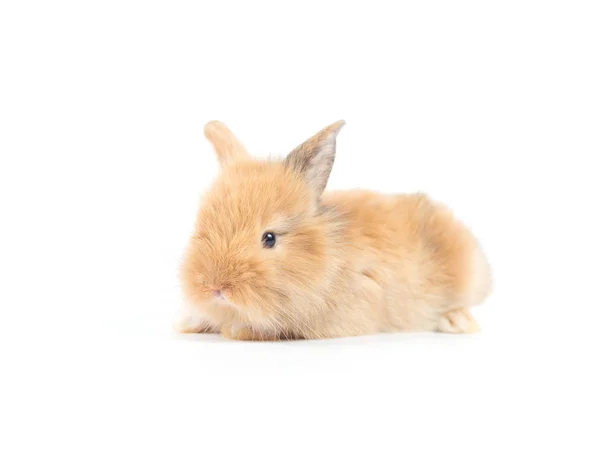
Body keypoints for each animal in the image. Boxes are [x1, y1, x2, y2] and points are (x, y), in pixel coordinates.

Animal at [175, 119, 492, 340]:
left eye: (269, 238)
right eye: (201, 226)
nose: (215, 287)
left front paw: (235, 331)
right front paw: (186, 325)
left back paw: (459, 323)